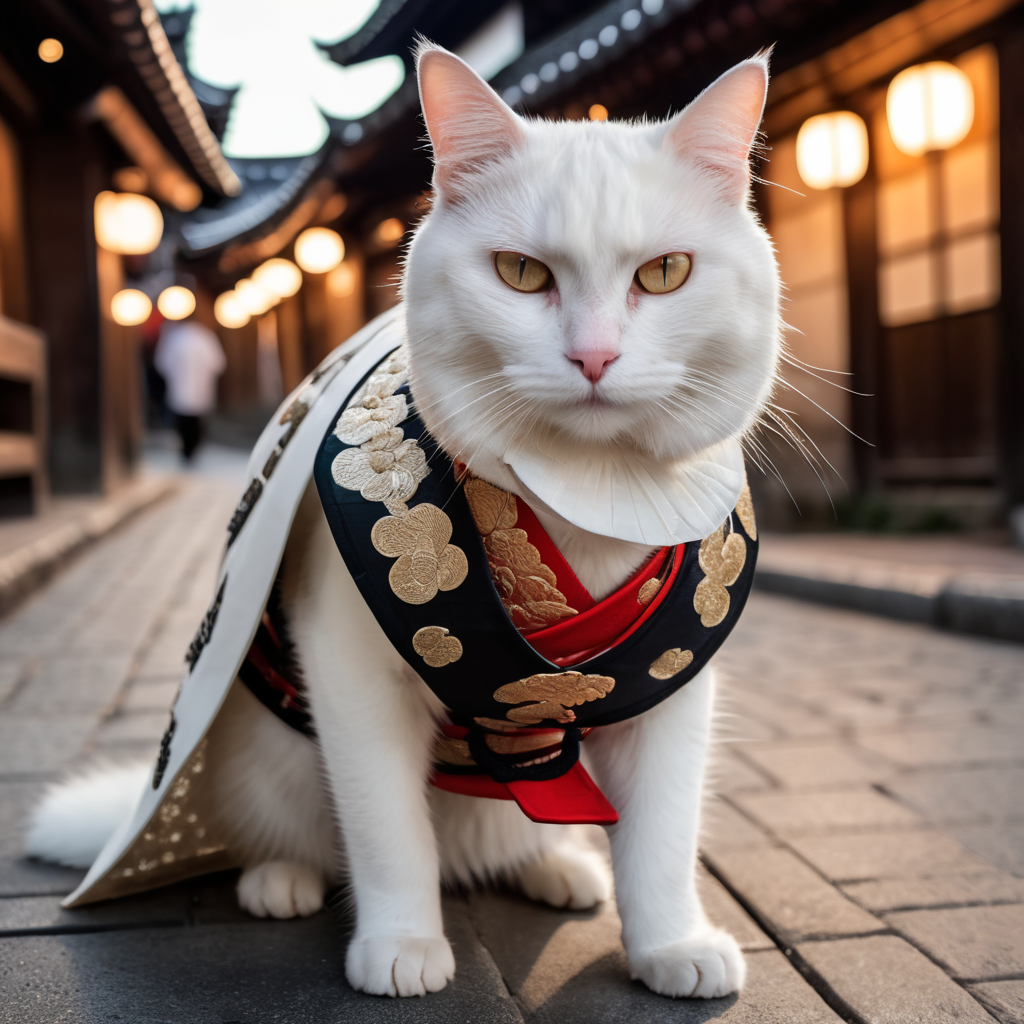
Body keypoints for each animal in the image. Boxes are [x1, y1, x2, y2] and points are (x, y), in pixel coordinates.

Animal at [24, 46, 778, 999]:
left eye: (666, 273)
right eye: (522, 274)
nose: (595, 356)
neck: (583, 495)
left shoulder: (672, 688)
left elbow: (665, 833)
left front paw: (671, 945)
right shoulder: (351, 669)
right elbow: (386, 829)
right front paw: (402, 943)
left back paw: (558, 867)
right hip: (264, 755)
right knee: (283, 830)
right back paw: (281, 881)